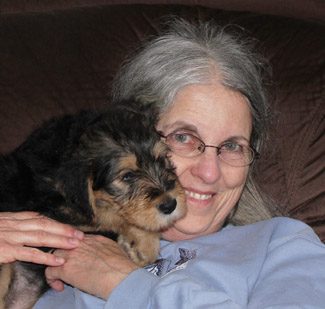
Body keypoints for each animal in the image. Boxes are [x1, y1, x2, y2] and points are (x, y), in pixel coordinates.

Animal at [0, 100, 185, 306]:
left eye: (162, 159)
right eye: (127, 176)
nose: (170, 205)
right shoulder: (55, 210)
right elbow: (107, 218)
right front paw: (143, 244)